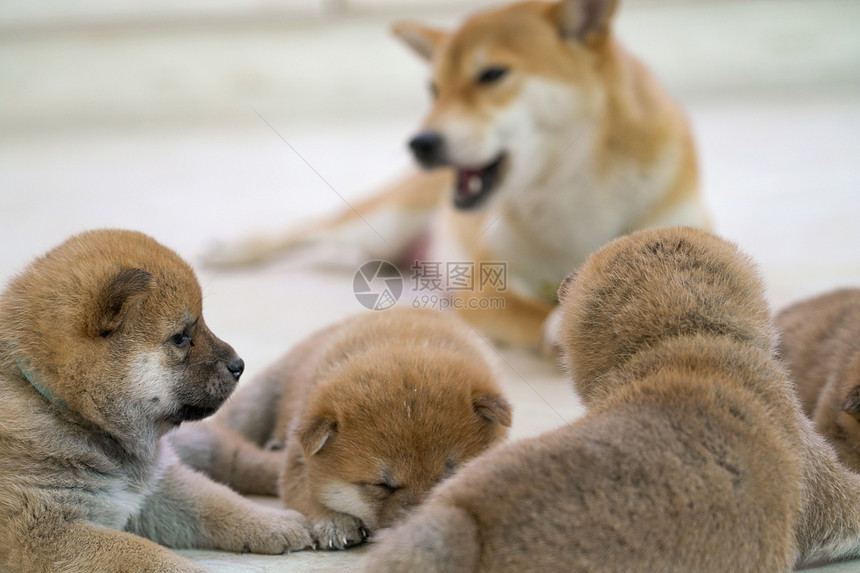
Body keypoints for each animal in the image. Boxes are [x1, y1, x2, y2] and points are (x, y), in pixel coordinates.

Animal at [0, 230, 312, 572]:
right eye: (180, 337)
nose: (239, 365)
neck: (64, 409)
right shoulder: (42, 531)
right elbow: (146, 552)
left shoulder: (158, 485)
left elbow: (216, 500)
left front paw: (273, 521)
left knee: (238, 458)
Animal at [171, 308, 512, 548]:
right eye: (381, 485)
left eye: (452, 475)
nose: (420, 528)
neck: (402, 340)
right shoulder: (298, 461)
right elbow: (306, 494)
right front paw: (334, 522)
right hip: (253, 404)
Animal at [205, 0, 708, 348]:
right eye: (434, 89)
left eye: (492, 74)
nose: (420, 143)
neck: (571, 189)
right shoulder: (486, 285)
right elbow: (530, 309)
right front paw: (561, 321)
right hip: (377, 223)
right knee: (308, 228)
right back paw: (232, 248)